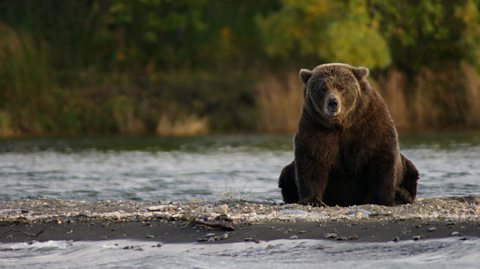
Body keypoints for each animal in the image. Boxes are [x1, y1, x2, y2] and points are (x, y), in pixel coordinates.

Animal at [280, 62, 418, 205]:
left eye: (341, 87)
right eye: (323, 88)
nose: (333, 102)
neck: (341, 124)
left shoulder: (369, 124)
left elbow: (380, 158)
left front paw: (384, 199)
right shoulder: (315, 126)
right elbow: (312, 161)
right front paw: (311, 200)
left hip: (406, 167)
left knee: (411, 171)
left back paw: (402, 194)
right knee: (285, 174)